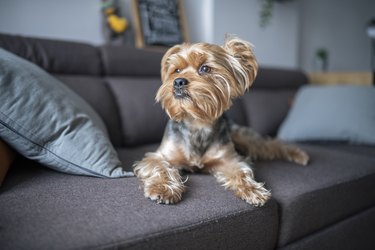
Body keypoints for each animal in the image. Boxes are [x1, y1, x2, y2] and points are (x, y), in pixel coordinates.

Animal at [134, 36, 310, 206]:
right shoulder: (160, 155)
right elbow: (160, 166)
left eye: (205, 68)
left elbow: (241, 171)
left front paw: (252, 190)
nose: (178, 81)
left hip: (242, 137)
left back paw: (299, 154)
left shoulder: (228, 160)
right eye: (176, 70)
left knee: (269, 144)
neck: (197, 123)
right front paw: (162, 188)